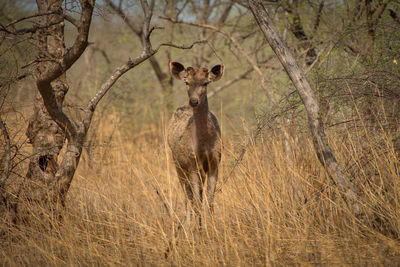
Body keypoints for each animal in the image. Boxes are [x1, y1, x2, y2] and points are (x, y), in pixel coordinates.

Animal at [167, 61, 223, 228]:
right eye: (186, 82)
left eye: (205, 82)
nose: (194, 101)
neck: (204, 144)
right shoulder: (192, 164)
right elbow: (197, 202)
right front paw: (199, 231)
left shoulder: (214, 164)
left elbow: (209, 201)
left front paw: (211, 229)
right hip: (178, 165)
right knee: (188, 196)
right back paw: (187, 225)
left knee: (196, 196)